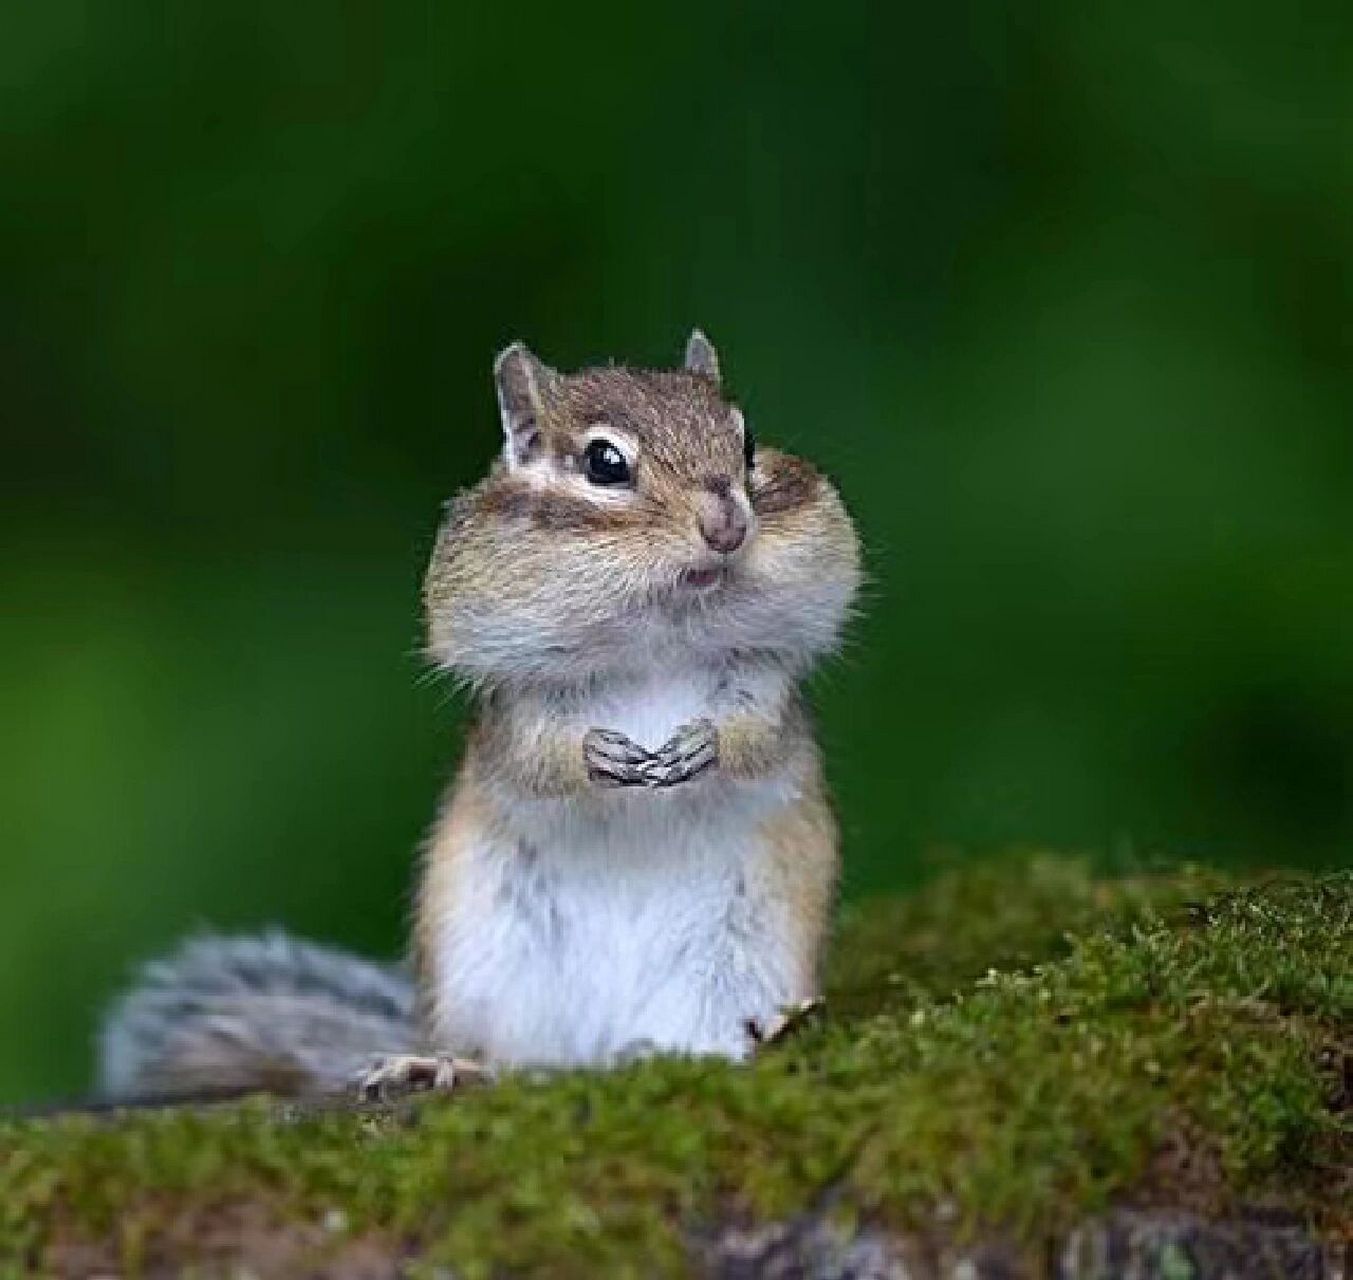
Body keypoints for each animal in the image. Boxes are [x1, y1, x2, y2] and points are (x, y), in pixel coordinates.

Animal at [100, 331, 860, 1098]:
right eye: (604, 463)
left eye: (747, 442)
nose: (728, 525)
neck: (659, 636)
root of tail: (597, 1053)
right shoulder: (518, 708)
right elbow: (536, 755)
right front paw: (594, 756)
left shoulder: (762, 680)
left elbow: (757, 735)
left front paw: (702, 745)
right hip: (486, 959)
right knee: (510, 1059)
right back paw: (445, 1062)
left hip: (744, 959)